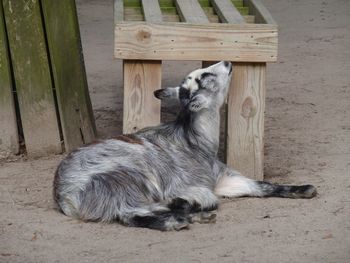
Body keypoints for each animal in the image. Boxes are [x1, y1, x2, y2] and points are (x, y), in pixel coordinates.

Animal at [52, 62, 318, 231]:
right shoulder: (184, 183)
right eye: (204, 77)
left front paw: (304, 189)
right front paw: (189, 204)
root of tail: (64, 194)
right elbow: (211, 196)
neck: (195, 143)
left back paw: (189, 213)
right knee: (128, 213)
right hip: (124, 178)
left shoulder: (223, 179)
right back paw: (180, 217)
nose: (227, 62)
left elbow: (262, 185)